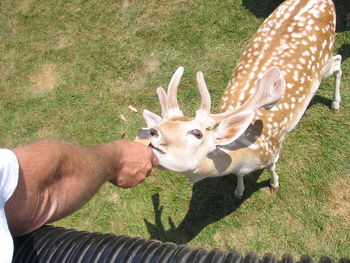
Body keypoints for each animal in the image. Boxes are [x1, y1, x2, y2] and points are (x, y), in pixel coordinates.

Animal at [136, 0, 342, 199]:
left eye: (197, 133)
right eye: (160, 124)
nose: (151, 132)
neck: (245, 155)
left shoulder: (272, 150)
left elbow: (272, 167)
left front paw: (274, 185)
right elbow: (239, 176)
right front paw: (238, 191)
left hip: (325, 61)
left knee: (338, 62)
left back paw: (335, 103)